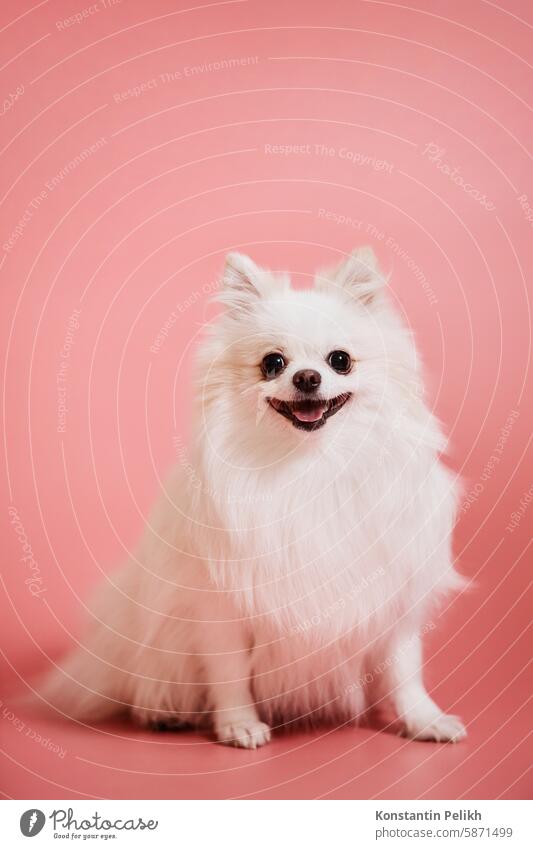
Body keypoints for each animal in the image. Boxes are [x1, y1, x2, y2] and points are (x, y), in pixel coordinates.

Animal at [44, 248, 466, 744]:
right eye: (273, 363)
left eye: (340, 360)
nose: (307, 377)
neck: (309, 466)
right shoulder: (219, 611)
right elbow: (229, 675)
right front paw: (238, 725)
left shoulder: (393, 595)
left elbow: (404, 670)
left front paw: (423, 719)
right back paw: (162, 712)